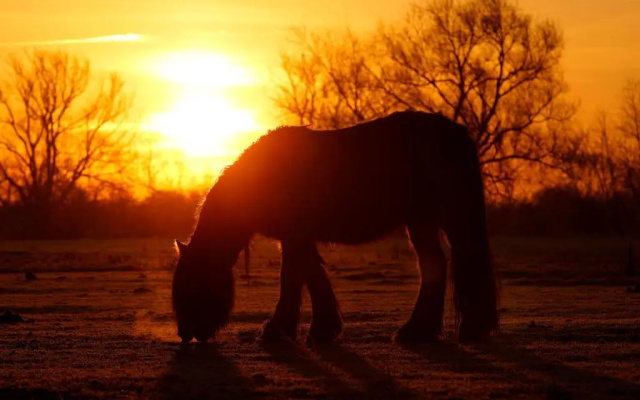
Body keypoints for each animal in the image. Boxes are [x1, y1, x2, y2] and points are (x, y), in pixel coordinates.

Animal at [172, 110, 499, 344]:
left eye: (193, 282)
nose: (186, 334)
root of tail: (454, 132)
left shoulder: (297, 236)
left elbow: (305, 276)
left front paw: (309, 330)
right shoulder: (292, 238)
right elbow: (297, 277)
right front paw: (289, 328)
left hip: (432, 218)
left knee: (445, 264)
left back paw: (438, 330)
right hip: (426, 222)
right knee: (439, 264)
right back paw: (427, 330)